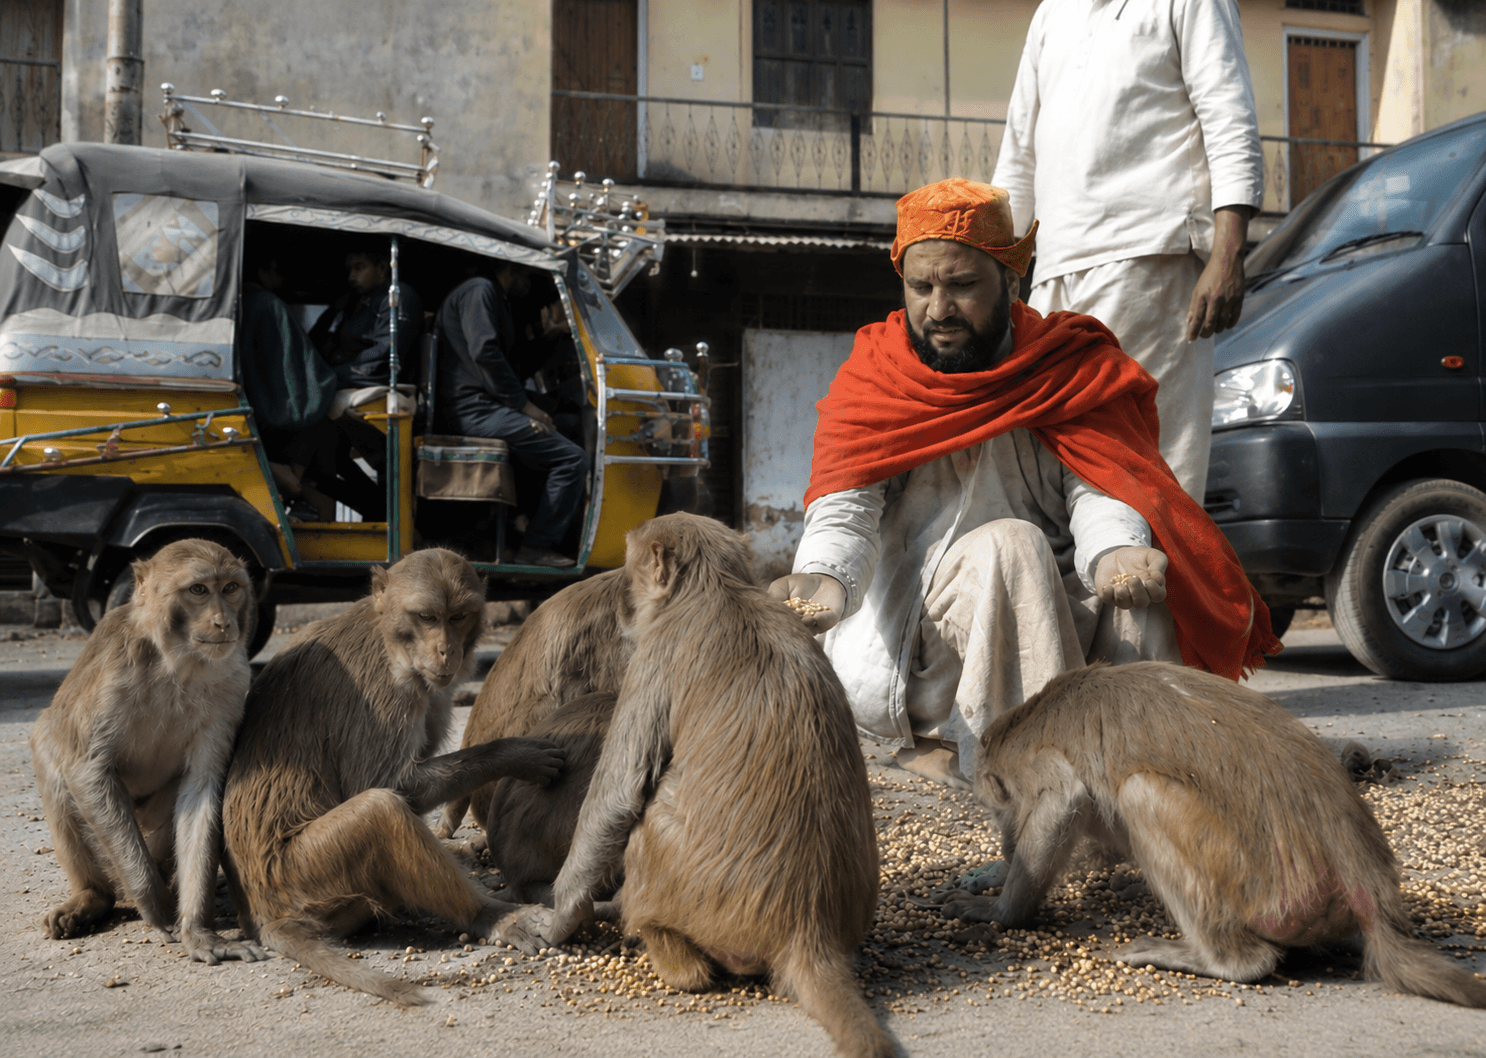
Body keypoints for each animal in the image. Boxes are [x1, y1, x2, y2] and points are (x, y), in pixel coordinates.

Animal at [30, 538, 267, 965]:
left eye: (230, 588)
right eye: (198, 590)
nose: (224, 622)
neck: (178, 661)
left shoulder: (233, 682)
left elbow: (201, 787)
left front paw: (198, 930)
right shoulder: (115, 667)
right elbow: (87, 769)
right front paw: (154, 904)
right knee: (50, 752)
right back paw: (93, 897)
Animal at [219, 548, 565, 1006]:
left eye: (458, 617)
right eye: (427, 617)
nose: (446, 652)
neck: (387, 633)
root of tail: (260, 912)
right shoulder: (383, 691)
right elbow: (389, 784)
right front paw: (513, 754)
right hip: (301, 878)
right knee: (380, 810)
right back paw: (490, 915)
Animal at [516, 513, 897, 1058]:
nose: (626, 607)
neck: (719, 590)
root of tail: (809, 931)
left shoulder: (654, 655)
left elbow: (618, 796)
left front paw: (562, 916)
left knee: (649, 819)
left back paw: (665, 950)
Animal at [941, 661, 1486, 1008]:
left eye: (997, 805)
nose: (1003, 834)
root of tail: (1366, 879)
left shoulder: (1037, 766)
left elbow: (1062, 797)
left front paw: (1001, 909)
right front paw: (992, 874)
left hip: (1268, 884)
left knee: (1140, 792)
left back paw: (1224, 961)